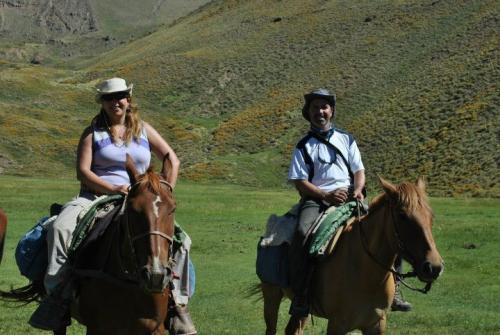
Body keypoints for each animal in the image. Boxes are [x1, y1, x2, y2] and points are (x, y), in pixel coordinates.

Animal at [0, 158, 176, 335]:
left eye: (173, 209)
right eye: (133, 210)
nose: (155, 275)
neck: (128, 281)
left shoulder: (155, 329)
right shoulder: (96, 327)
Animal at [260, 177, 444, 334]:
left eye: (431, 215)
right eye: (402, 215)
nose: (434, 267)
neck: (367, 274)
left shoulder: (376, 325)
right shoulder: (337, 325)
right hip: (271, 295)